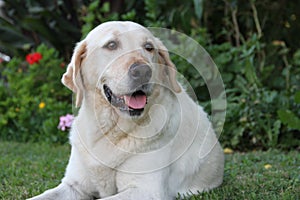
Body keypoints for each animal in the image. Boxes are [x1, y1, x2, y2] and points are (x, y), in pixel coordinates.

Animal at [28, 21, 224, 199]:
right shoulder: (73, 185)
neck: (110, 129)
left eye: (149, 47)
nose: (143, 71)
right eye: (111, 45)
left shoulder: (145, 191)